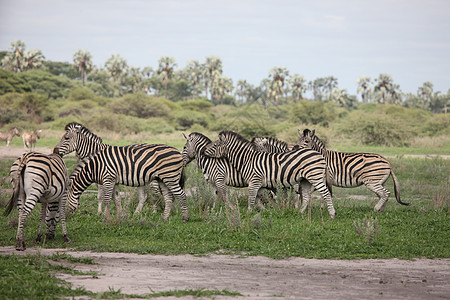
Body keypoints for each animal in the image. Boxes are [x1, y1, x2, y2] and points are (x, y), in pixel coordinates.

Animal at [203, 131, 334, 218]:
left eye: (215, 145)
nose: (204, 150)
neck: (247, 159)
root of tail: (319, 154)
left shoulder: (254, 181)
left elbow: (251, 198)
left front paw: (249, 213)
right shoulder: (261, 184)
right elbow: (261, 198)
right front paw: (269, 211)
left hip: (315, 177)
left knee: (325, 193)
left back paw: (332, 214)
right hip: (306, 179)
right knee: (306, 196)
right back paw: (300, 213)